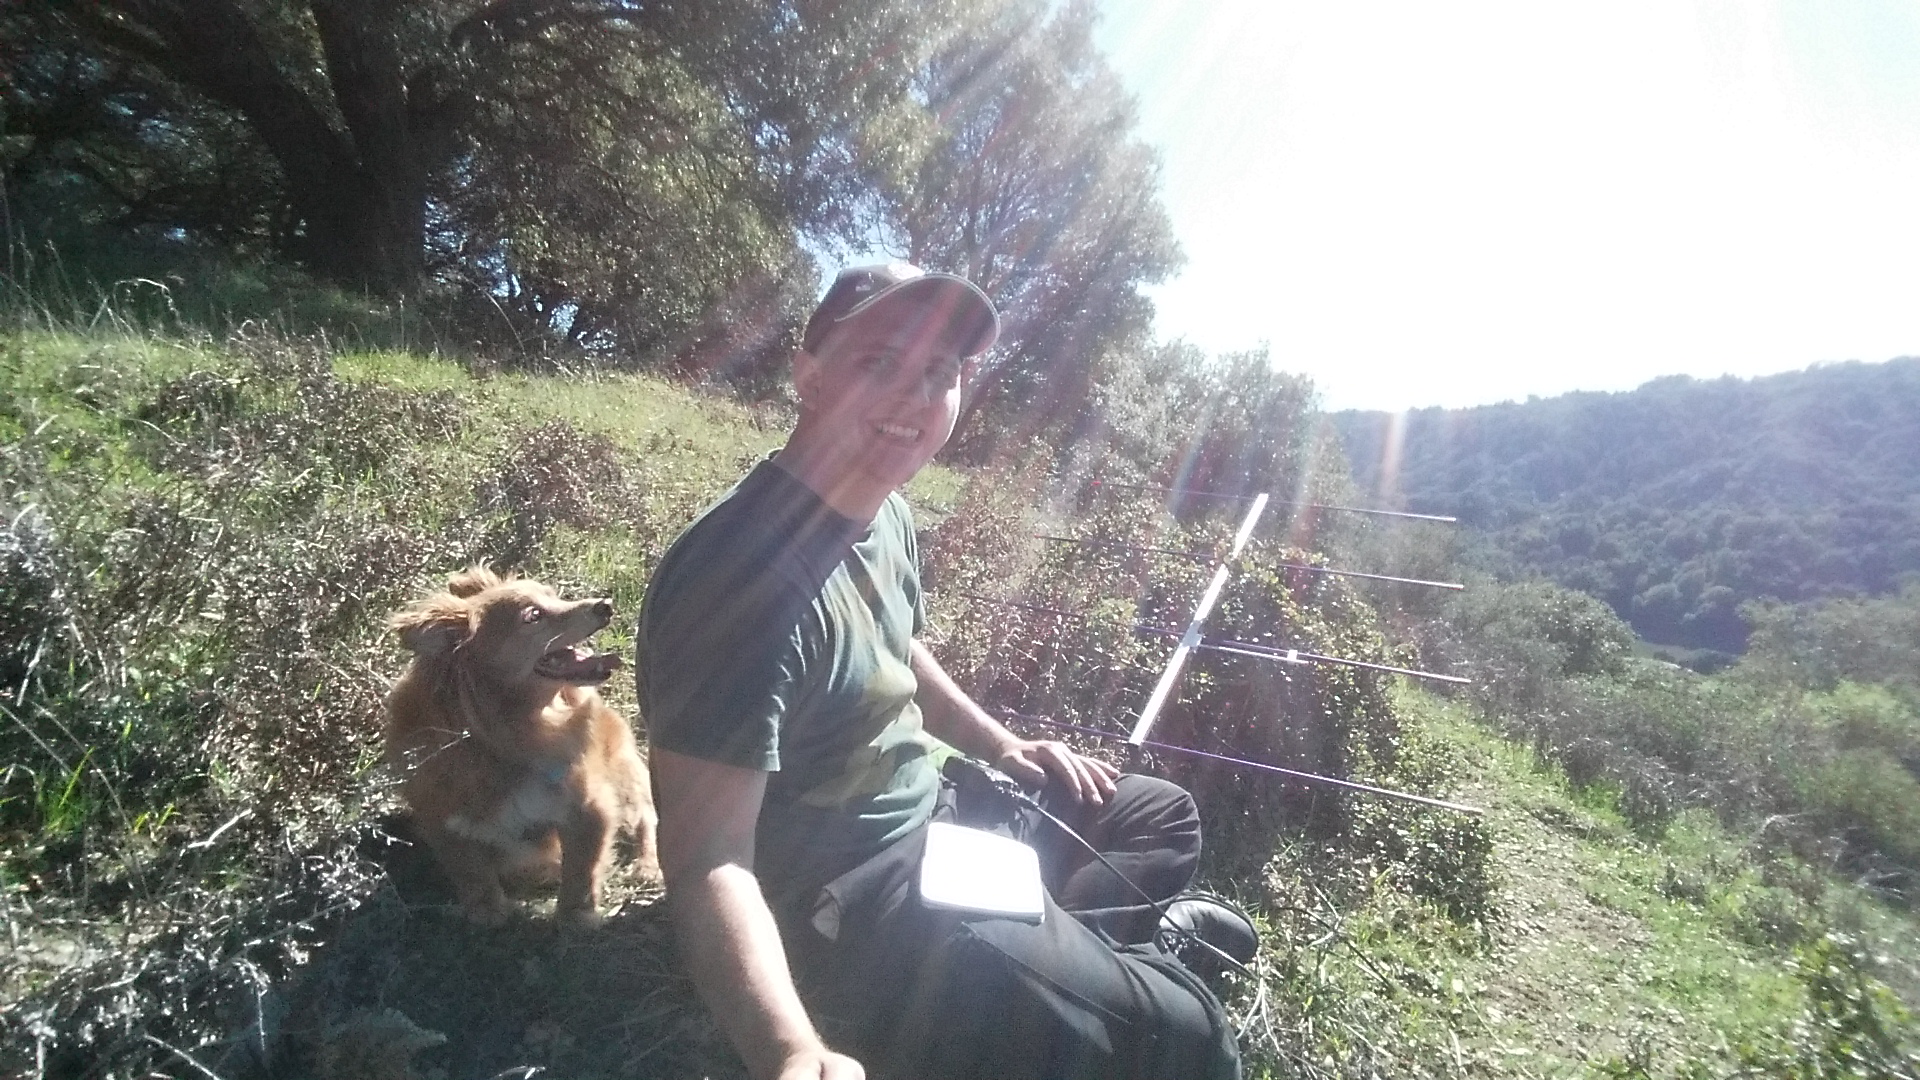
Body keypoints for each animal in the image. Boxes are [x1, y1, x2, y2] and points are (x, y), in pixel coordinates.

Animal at [384, 566, 658, 927]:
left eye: (555, 595)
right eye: (533, 616)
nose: (605, 605)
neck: (511, 736)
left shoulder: (587, 808)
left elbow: (580, 872)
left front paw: (575, 917)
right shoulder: (445, 824)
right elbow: (472, 874)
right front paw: (489, 913)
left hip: (626, 775)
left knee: (648, 819)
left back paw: (648, 867)